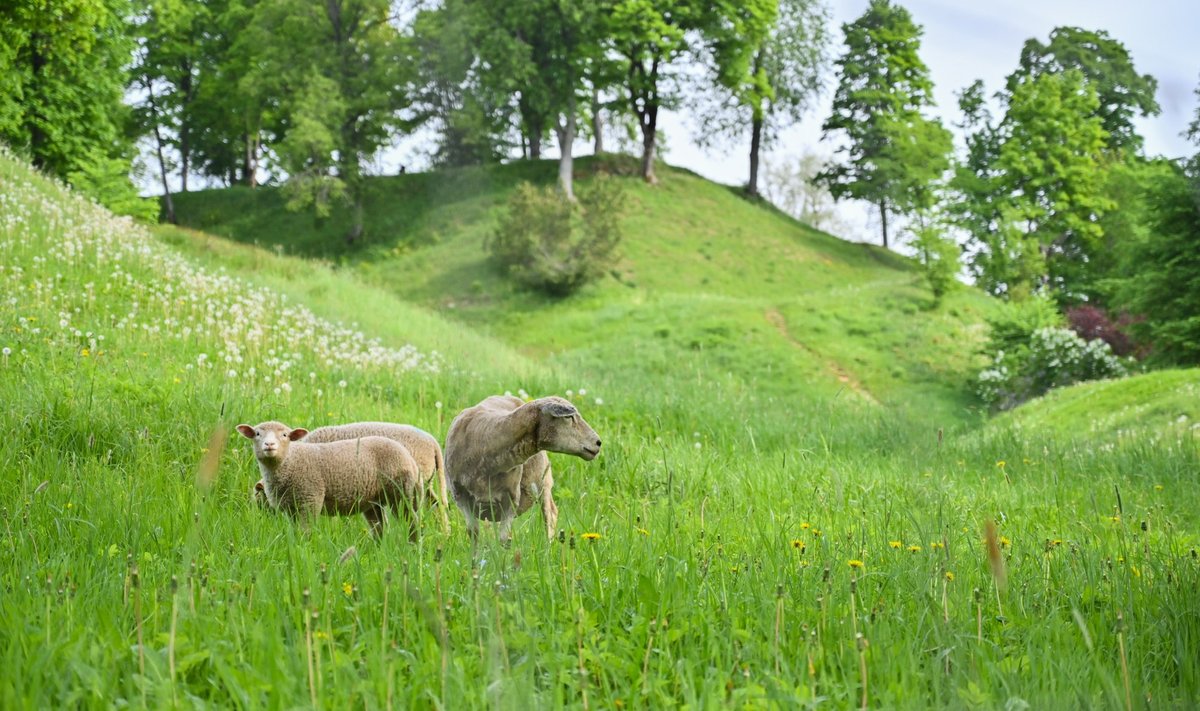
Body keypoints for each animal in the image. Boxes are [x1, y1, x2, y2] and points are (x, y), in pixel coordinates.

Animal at [234, 420, 422, 540]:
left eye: (285, 435)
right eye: (257, 434)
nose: (269, 445)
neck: (290, 461)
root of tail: (408, 456)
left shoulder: (310, 499)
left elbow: (306, 532)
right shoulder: (291, 508)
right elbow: (296, 532)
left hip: (401, 492)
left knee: (411, 522)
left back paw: (412, 547)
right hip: (373, 501)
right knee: (379, 528)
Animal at [444, 393, 600, 545]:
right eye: (568, 417)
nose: (598, 442)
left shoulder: (511, 498)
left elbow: (504, 539)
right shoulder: (461, 496)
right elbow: (474, 533)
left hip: (544, 483)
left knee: (550, 515)